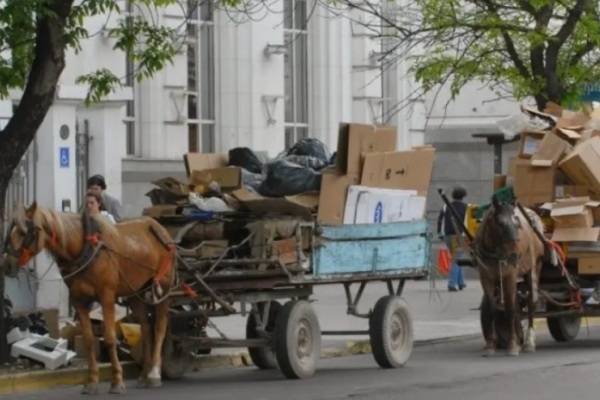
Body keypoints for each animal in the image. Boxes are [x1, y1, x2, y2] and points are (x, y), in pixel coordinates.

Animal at [1, 202, 176, 396]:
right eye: (11, 231)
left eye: (25, 232)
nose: (7, 265)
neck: (85, 248)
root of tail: (161, 229)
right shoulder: (79, 301)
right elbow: (89, 341)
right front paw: (91, 381)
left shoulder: (107, 296)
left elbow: (109, 339)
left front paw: (117, 381)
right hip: (136, 292)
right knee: (146, 328)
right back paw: (144, 375)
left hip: (164, 287)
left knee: (159, 327)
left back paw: (154, 374)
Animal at [476, 195, 548, 358]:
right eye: (500, 223)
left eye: (518, 224)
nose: (515, 255)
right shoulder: (486, 278)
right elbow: (492, 308)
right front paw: (490, 344)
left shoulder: (510, 275)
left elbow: (509, 309)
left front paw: (513, 345)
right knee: (516, 305)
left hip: (535, 267)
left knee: (531, 303)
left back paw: (528, 342)